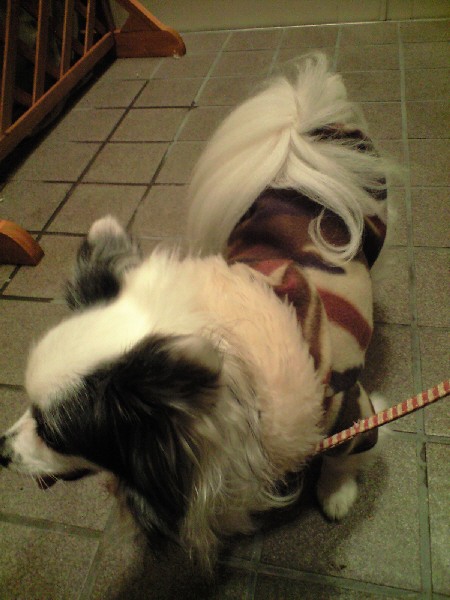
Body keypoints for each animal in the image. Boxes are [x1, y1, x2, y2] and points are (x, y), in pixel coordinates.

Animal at [0, 54, 390, 570]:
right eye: (28, 409)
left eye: (54, 434)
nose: (1, 450)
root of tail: (303, 134)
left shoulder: (348, 406)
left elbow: (345, 452)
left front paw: (337, 493)